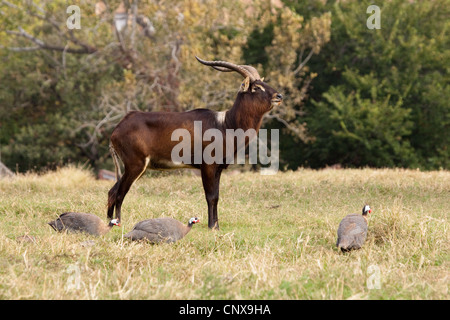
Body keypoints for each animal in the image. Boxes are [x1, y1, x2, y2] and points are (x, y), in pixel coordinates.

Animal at [107, 56, 284, 229]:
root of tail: (118, 127)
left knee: (112, 191)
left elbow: (217, 196)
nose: (279, 96)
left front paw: (216, 227)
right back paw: (118, 223)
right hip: (135, 166)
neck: (225, 124)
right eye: (256, 88)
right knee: (120, 193)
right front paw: (211, 227)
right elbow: (210, 196)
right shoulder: (208, 166)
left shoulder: (218, 169)